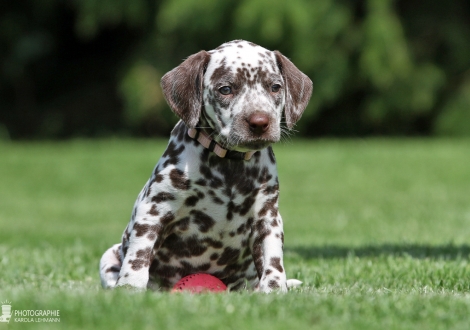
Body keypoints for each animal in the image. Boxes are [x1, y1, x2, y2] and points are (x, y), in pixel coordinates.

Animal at [99, 40, 312, 292]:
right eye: (226, 89)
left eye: (275, 87)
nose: (260, 122)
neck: (229, 167)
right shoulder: (154, 210)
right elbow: (139, 255)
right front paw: (130, 288)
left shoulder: (267, 217)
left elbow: (273, 259)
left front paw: (274, 289)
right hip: (109, 256)